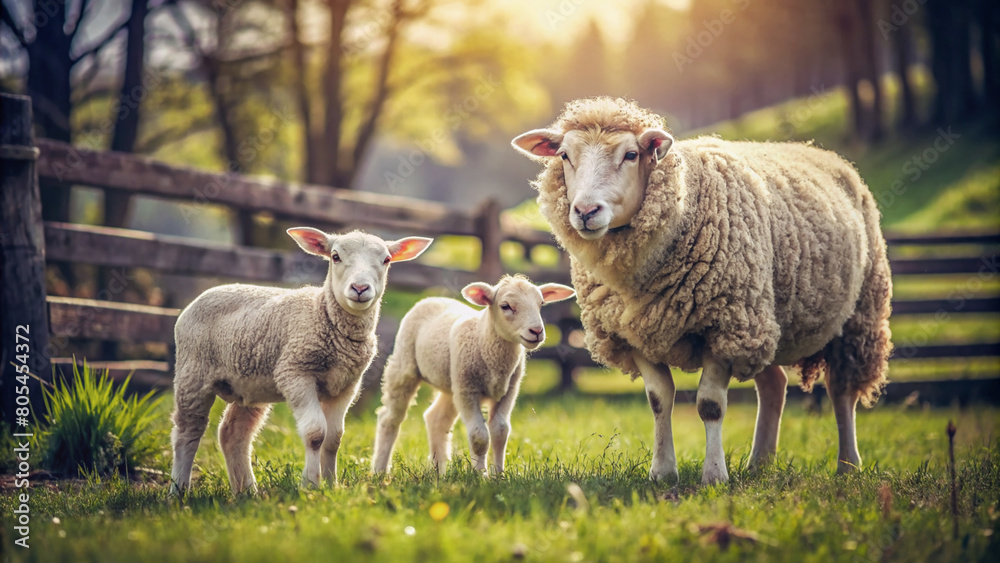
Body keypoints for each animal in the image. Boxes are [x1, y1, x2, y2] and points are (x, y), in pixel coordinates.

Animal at [169, 227, 432, 495]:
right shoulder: (296, 373)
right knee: (188, 431)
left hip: (250, 385)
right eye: (335, 257)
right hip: (193, 372)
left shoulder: (347, 385)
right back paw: (179, 491)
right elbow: (316, 434)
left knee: (233, 433)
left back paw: (248, 492)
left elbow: (334, 438)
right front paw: (311, 485)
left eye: (386, 260)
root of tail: (206, 294)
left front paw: (332, 484)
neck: (324, 314)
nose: (360, 288)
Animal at [371, 275, 575, 476]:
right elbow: (479, 436)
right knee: (389, 418)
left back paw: (439, 473)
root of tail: (432, 298)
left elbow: (500, 431)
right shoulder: (468, 391)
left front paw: (498, 475)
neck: (484, 340)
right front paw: (479, 475)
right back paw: (380, 470)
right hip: (405, 366)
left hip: (452, 382)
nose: (537, 331)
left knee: (436, 419)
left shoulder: (508, 391)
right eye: (505, 306)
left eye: (541, 304)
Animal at [512, 97, 892, 484]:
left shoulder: (721, 326)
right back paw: (760, 463)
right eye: (564, 155)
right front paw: (663, 472)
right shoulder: (636, 333)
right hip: (759, 318)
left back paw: (848, 465)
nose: (586, 211)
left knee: (841, 388)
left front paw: (714, 476)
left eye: (631, 154)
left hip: (855, 313)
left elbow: (710, 405)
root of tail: (819, 151)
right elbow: (659, 400)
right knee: (774, 384)